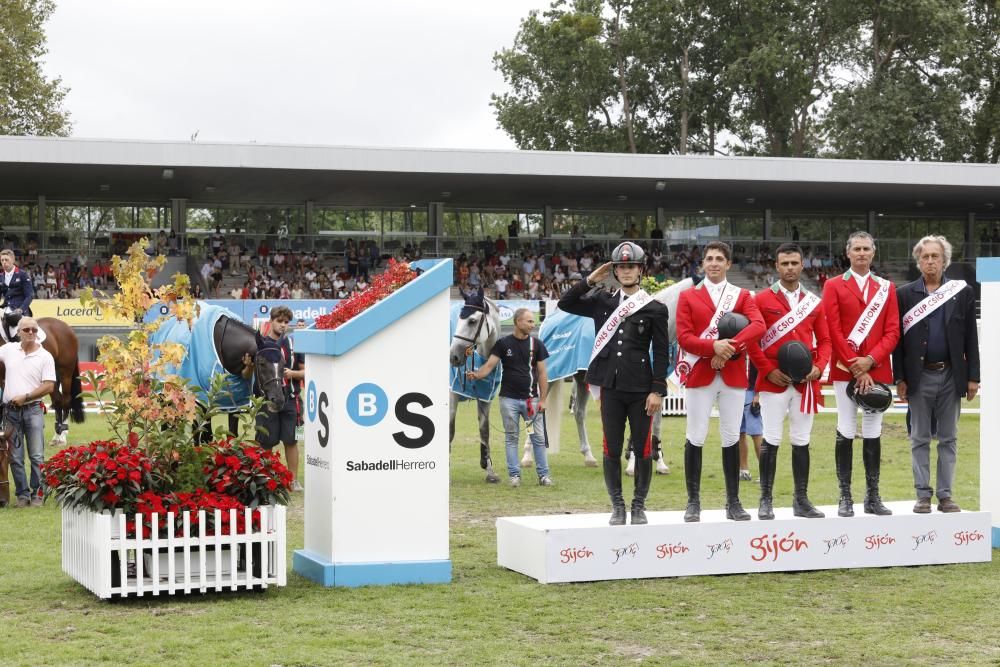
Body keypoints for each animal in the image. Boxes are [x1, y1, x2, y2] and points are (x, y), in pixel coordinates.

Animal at [450, 290, 504, 482]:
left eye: (472, 321)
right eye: (459, 318)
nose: (453, 357)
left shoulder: (486, 399)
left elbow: (484, 431)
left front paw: (489, 470)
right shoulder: (452, 396)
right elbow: (450, 430)